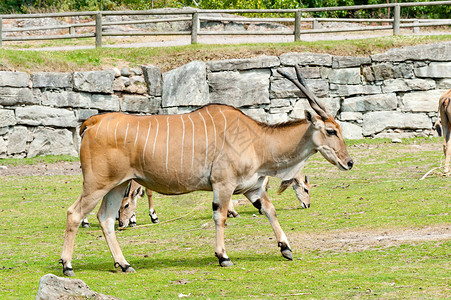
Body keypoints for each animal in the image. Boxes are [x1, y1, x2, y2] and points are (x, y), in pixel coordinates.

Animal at [59, 66, 354, 276]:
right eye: (331, 131)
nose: (349, 162)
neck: (256, 139)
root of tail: (93, 122)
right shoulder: (223, 185)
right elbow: (220, 217)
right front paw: (223, 256)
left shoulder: (252, 187)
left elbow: (269, 210)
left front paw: (286, 248)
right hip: (97, 183)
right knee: (74, 213)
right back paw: (67, 266)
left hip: (118, 185)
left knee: (106, 218)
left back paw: (124, 264)